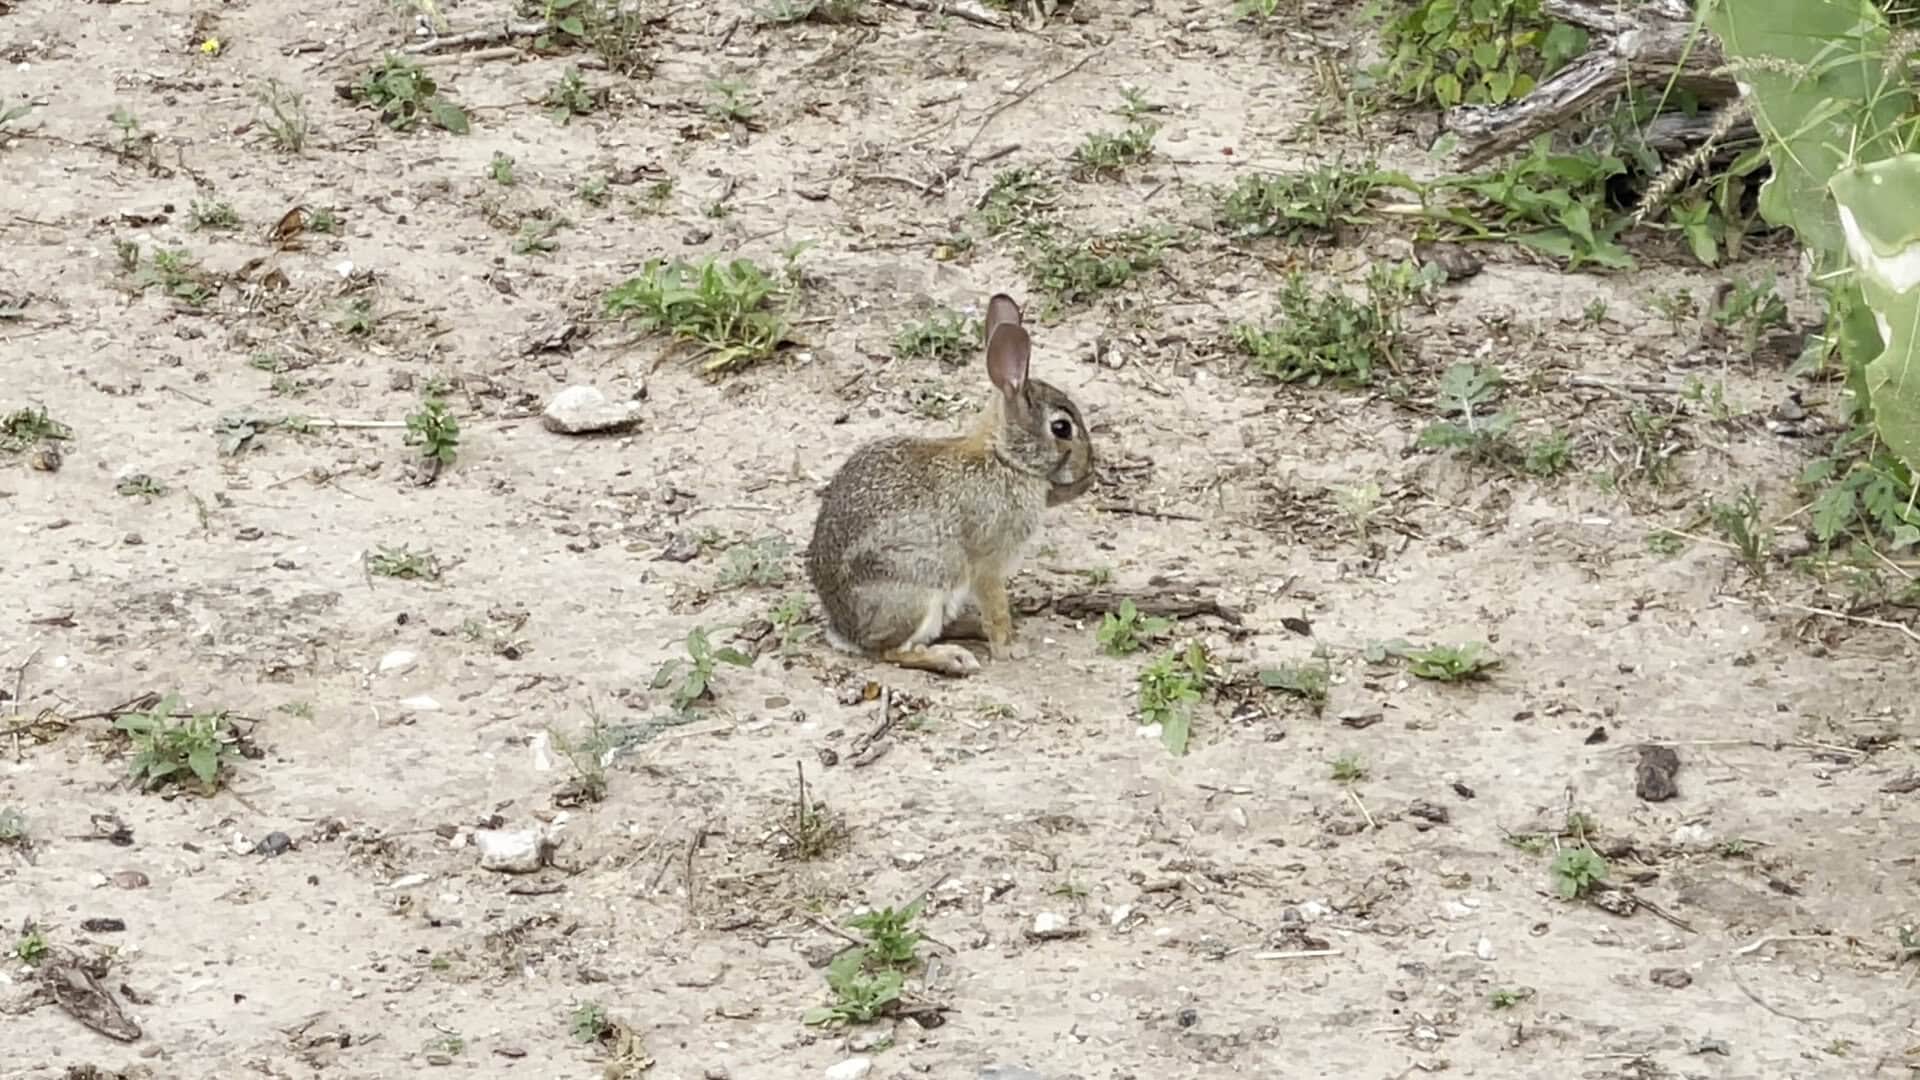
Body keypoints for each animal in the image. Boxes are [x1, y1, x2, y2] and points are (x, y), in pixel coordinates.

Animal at [805, 292, 1096, 677]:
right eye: (1061, 428)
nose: (1090, 468)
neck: (1003, 458)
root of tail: (845, 631)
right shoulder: (989, 563)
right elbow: (996, 608)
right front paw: (1009, 650)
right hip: (921, 590)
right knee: (892, 651)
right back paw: (954, 659)